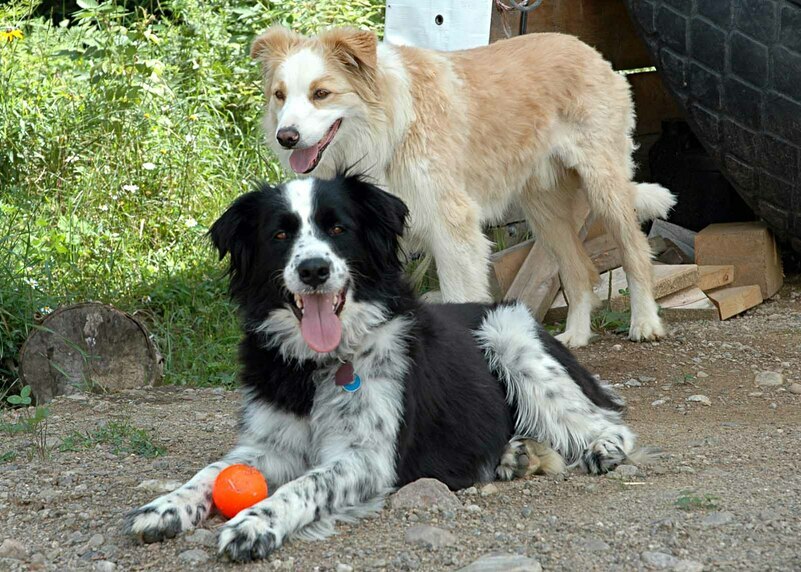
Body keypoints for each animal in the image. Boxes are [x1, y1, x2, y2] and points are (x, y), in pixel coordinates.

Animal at [124, 174, 645, 562]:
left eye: (338, 229)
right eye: (280, 234)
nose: (313, 269)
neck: (321, 364)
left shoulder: (367, 458)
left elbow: (304, 485)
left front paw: (255, 523)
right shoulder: (267, 443)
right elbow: (211, 473)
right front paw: (166, 506)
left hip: (509, 336)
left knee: (608, 423)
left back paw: (600, 448)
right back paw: (513, 457)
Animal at [248, 26, 676, 348]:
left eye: (321, 93)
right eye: (279, 95)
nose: (286, 137)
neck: (386, 129)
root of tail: (587, 49)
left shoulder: (452, 228)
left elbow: (458, 296)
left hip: (605, 187)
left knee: (636, 252)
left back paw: (645, 323)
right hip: (545, 210)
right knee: (578, 271)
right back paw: (575, 335)